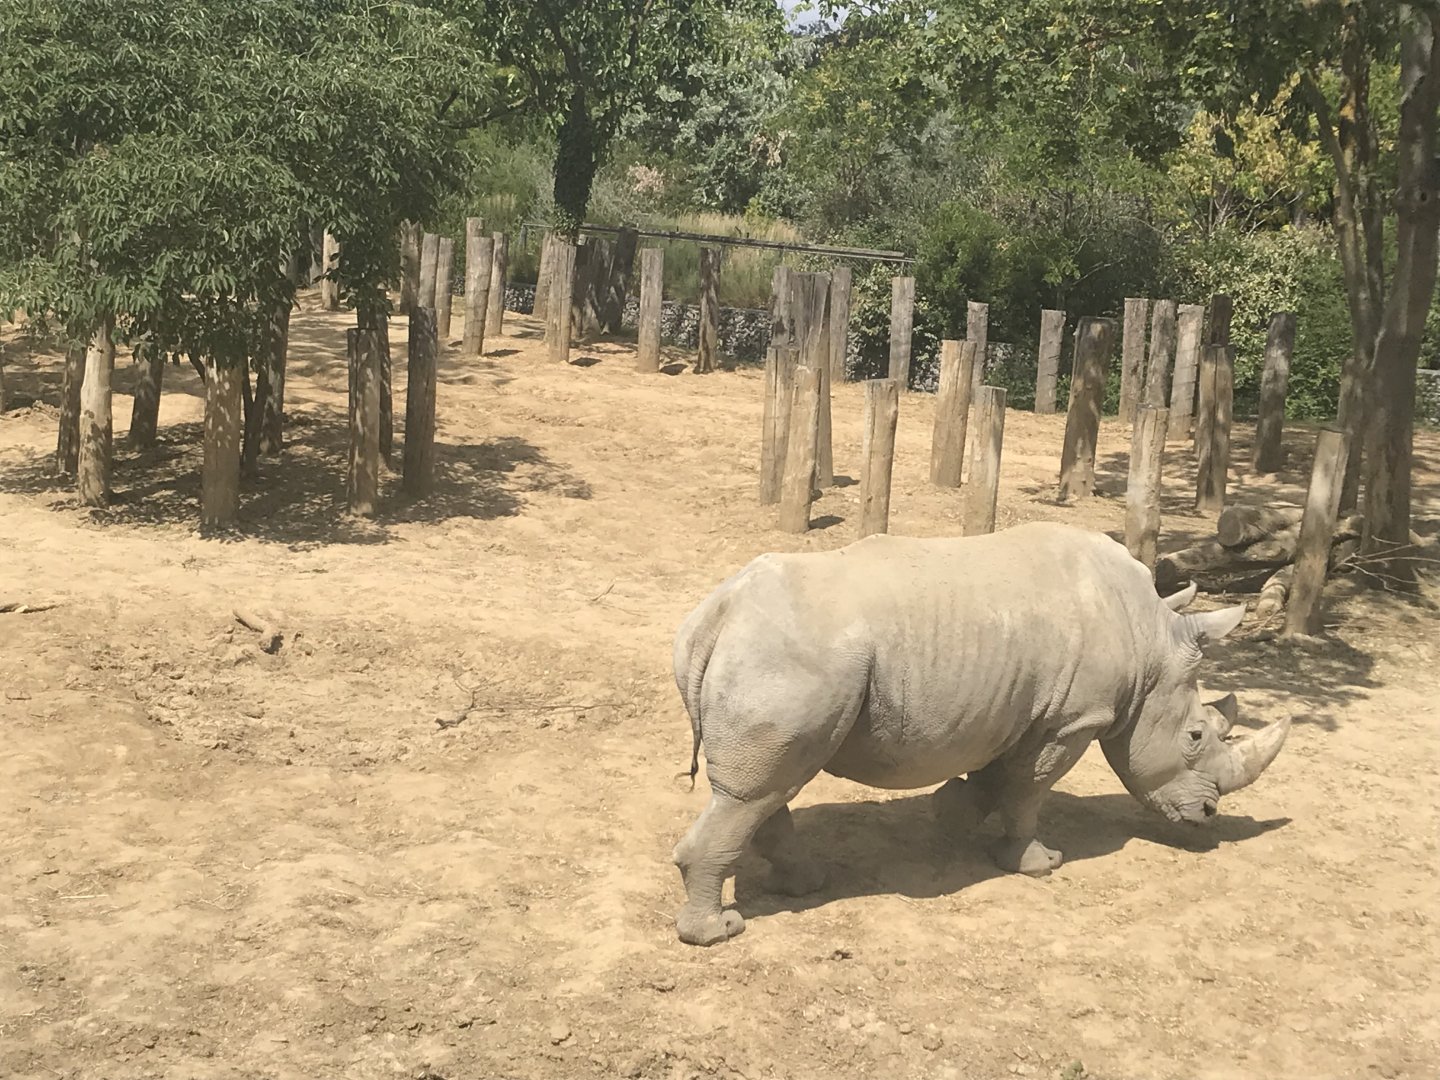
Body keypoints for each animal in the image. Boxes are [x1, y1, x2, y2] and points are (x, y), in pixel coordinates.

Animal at [669, 521, 1290, 946]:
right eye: (1196, 736)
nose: (1206, 815)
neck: (1149, 644)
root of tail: (718, 613)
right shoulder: (1073, 719)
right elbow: (1029, 790)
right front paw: (1039, 863)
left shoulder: (1020, 710)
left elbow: (1001, 777)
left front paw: (952, 813)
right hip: (790, 659)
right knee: (758, 791)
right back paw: (720, 932)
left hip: (778, 659)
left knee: (770, 785)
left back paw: (806, 884)